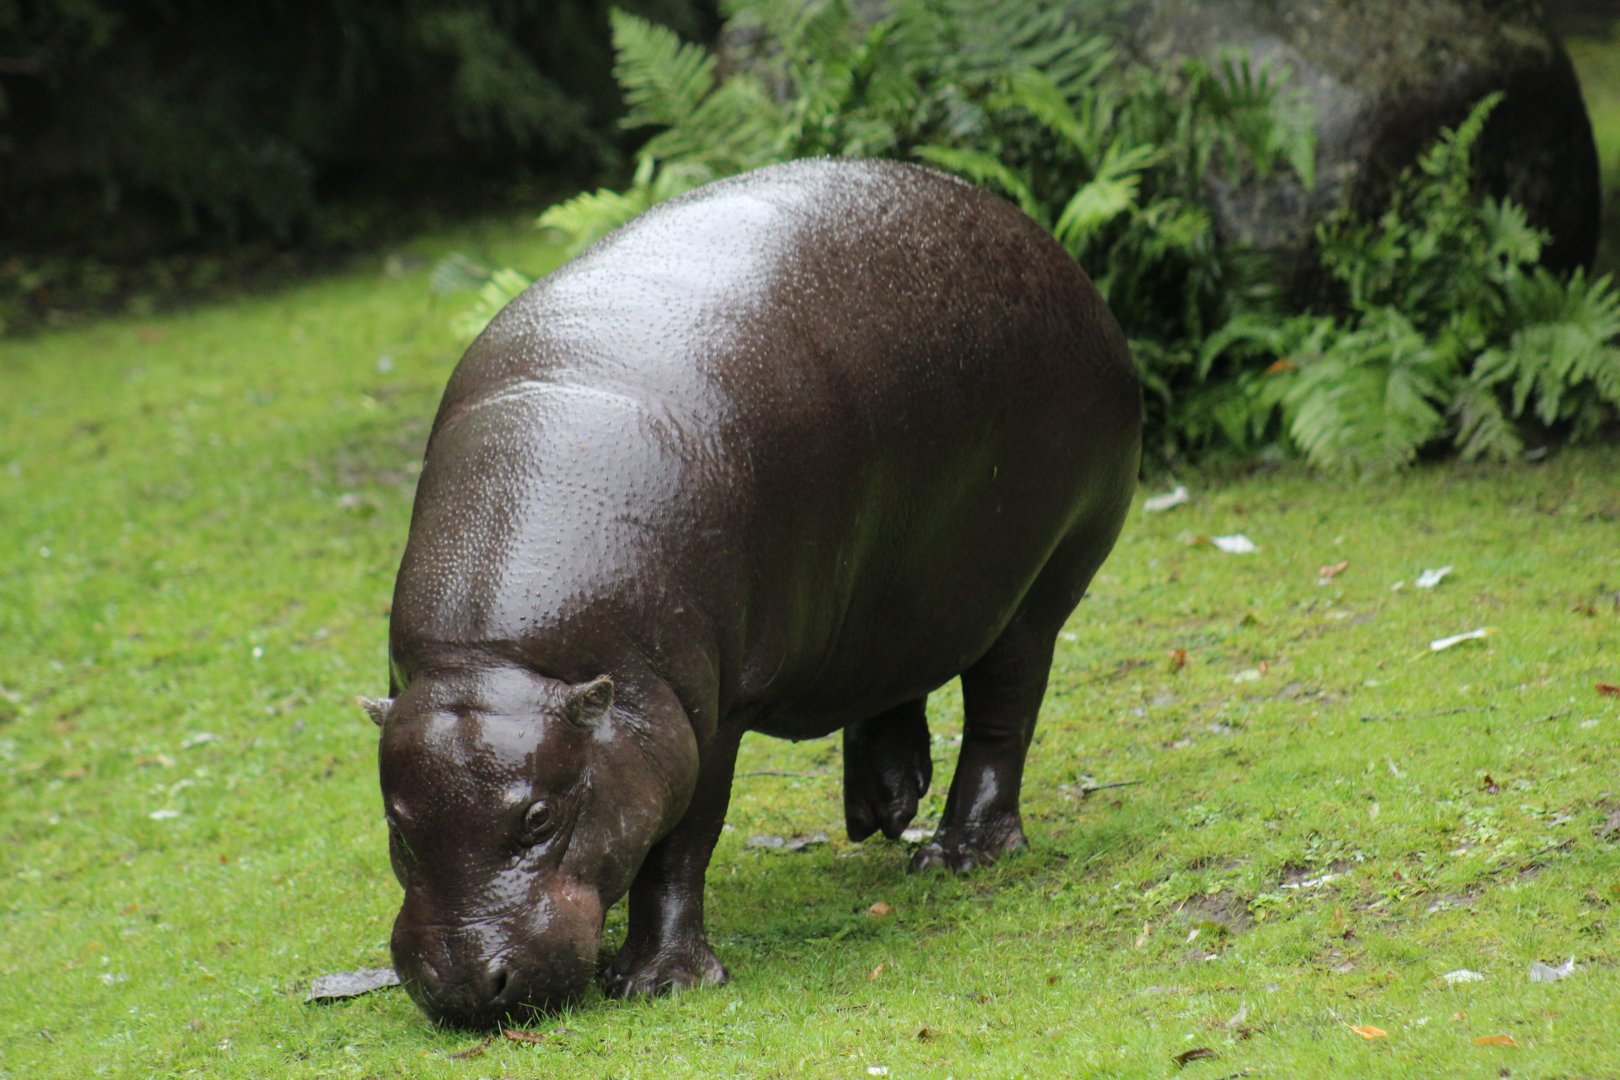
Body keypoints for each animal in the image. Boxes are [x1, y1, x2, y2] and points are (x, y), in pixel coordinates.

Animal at [361, 158, 1141, 1029]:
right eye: (398, 826)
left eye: (538, 817)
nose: (465, 986)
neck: (503, 661)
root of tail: (1055, 255)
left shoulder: (706, 715)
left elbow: (680, 845)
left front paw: (660, 980)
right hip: (894, 586)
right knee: (894, 668)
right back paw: (884, 805)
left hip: (1040, 583)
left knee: (1003, 713)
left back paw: (958, 854)